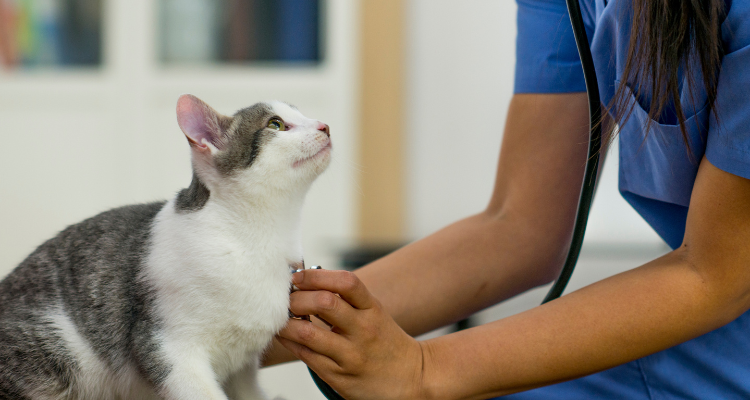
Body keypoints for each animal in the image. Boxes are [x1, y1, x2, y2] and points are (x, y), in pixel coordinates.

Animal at [0, 94, 332, 400]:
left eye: (303, 114)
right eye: (276, 124)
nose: (325, 125)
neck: (255, 240)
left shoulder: (243, 367)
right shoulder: (166, 345)